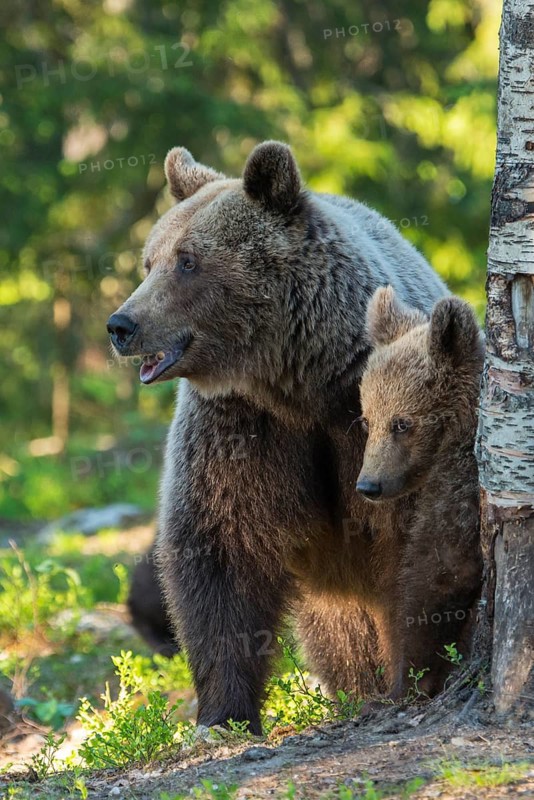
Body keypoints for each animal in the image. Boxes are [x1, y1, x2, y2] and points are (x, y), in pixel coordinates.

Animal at [107, 140, 450, 734]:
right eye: (150, 261)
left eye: (188, 260)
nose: (122, 325)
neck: (300, 380)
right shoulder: (242, 429)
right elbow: (219, 549)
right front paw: (224, 711)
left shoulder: (381, 426)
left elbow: (417, 551)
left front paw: (414, 676)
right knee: (340, 628)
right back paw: (357, 687)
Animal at [356, 287, 484, 698]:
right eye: (367, 420)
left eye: (402, 423)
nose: (368, 485)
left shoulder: (463, 477)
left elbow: (441, 569)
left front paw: (406, 678)